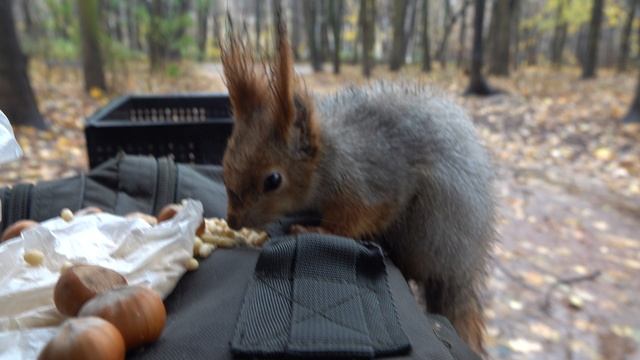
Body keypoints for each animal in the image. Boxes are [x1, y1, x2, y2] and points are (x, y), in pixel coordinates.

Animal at [220, 14, 496, 358]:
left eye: (273, 180)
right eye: (226, 156)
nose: (232, 220)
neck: (327, 158)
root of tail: (462, 268)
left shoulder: (365, 186)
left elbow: (354, 221)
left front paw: (313, 230)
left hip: (427, 225)